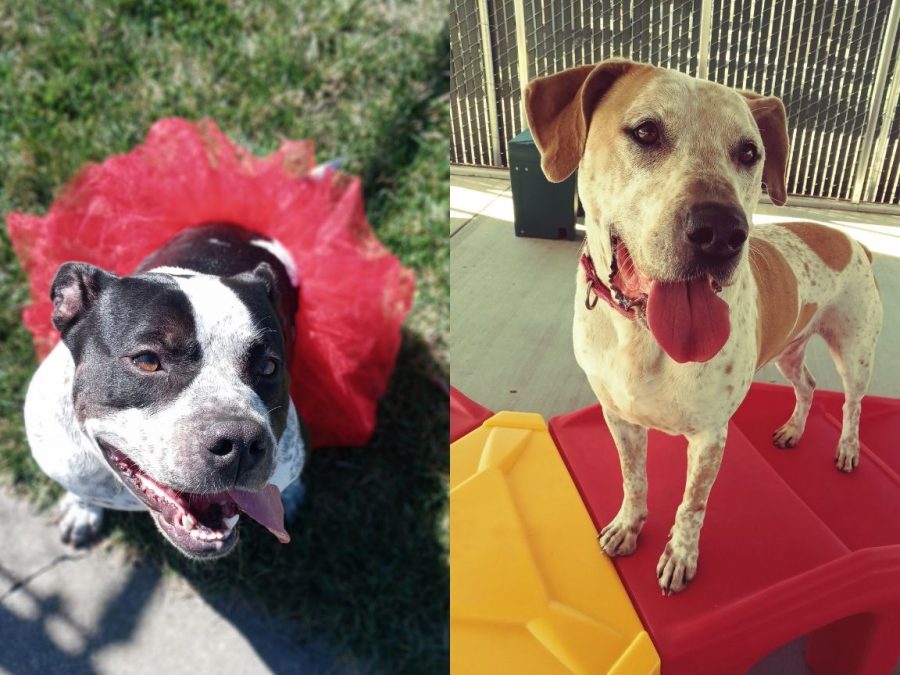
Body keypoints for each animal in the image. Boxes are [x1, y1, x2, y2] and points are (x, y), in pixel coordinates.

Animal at [524, 60, 884, 596]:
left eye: (750, 152)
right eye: (645, 131)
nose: (722, 234)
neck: (641, 336)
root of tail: (849, 239)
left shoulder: (711, 437)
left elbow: (691, 505)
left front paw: (680, 556)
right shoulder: (619, 417)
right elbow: (634, 479)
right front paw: (629, 526)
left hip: (855, 351)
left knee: (852, 404)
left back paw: (847, 449)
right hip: (789, 349)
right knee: (807, 385)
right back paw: (794, 430)